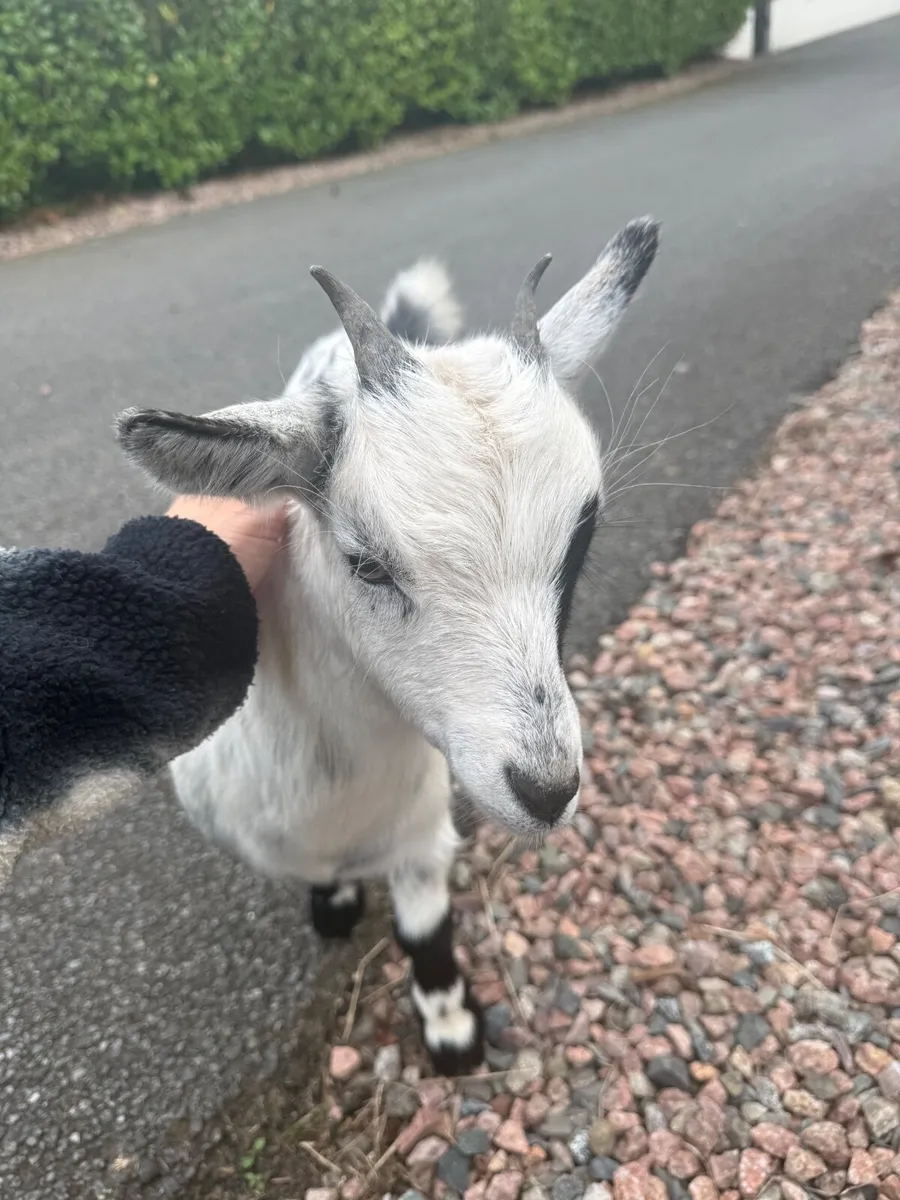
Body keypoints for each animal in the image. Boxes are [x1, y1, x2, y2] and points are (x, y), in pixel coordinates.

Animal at [116, 218, 659, 1075]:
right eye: (367, 562)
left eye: (582, 539)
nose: (547, 789)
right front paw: (337, 905)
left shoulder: (424, 828)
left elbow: (425, 928)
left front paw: (452, 1028)